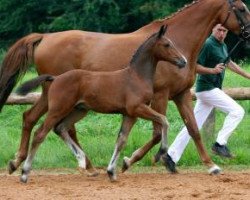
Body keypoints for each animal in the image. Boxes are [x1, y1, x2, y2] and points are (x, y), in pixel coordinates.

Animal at [0, 0, 250, 175]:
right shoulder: (160, 96)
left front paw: (210, 165)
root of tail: (44, 37)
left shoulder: (180, 95)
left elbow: (193, 129)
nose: (248, 34)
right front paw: (134, 160)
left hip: (56, 97)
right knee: (53, 125)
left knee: (33, 118)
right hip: (58, 97)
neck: (179, 39)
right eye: (241, 8)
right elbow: (158, 131)